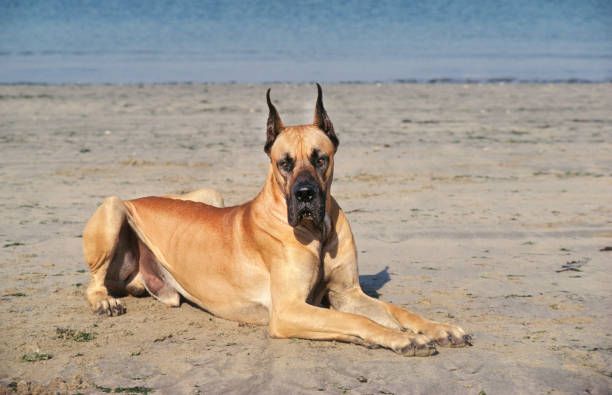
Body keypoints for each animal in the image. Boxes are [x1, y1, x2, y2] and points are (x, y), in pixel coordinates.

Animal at [82, 85, 468, 358]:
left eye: (320, 158)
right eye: (285, 163)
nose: (305, 194)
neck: (316, 232)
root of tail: (137, 198)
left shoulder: (347, 293)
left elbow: (396, 310)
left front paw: (437, 328)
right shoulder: (289, 310)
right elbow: (354, 319)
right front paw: (398, 339)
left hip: (210, 194)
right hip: (115, 207)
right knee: (93, 282)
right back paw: (104, 301)